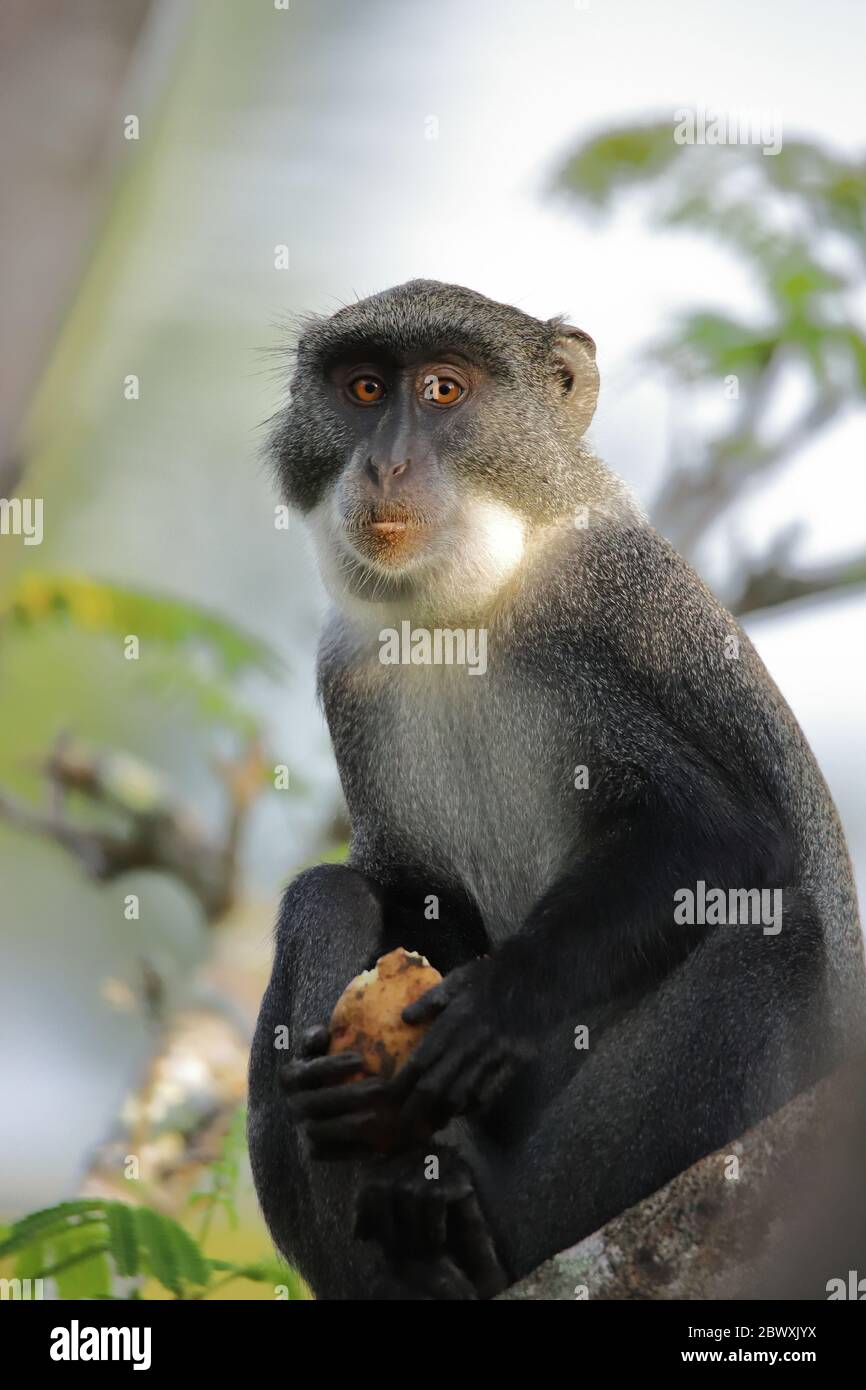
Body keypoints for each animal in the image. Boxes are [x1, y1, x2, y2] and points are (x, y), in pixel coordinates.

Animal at [248, 279, 866, 1300]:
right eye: (366, 387)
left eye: (446, 390)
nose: (386, 464)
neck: (458, 612)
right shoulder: (348, 673)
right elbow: (406, 887)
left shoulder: (603, 620)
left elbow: (728, 842)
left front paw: (499, 1006)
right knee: (325, 894)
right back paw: (411, 1222)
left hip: (571, 1191)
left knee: (781, 939)